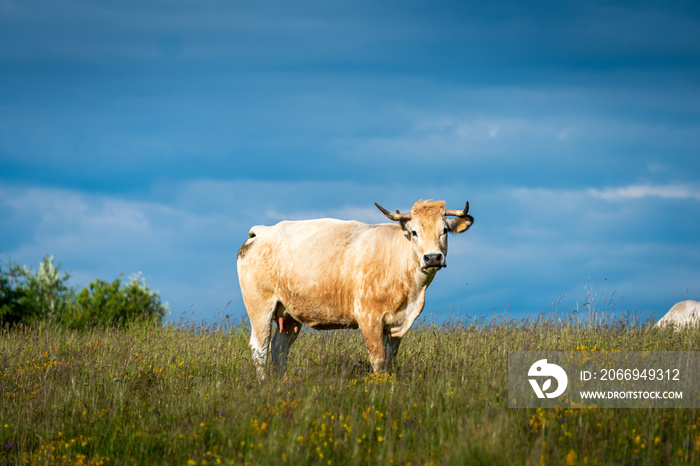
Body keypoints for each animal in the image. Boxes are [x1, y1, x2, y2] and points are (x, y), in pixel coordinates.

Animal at [238, 199, 474, 378]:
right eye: (414, 232)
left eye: (444, 230)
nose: (432, 257)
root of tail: (263, 231)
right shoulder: (369, 318)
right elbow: (378, 361)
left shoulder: (396, 325)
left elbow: (390, 360)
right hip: (260, 306)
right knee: (260, 350)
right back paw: (263, 384)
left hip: (287, 315)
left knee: (279, 350)